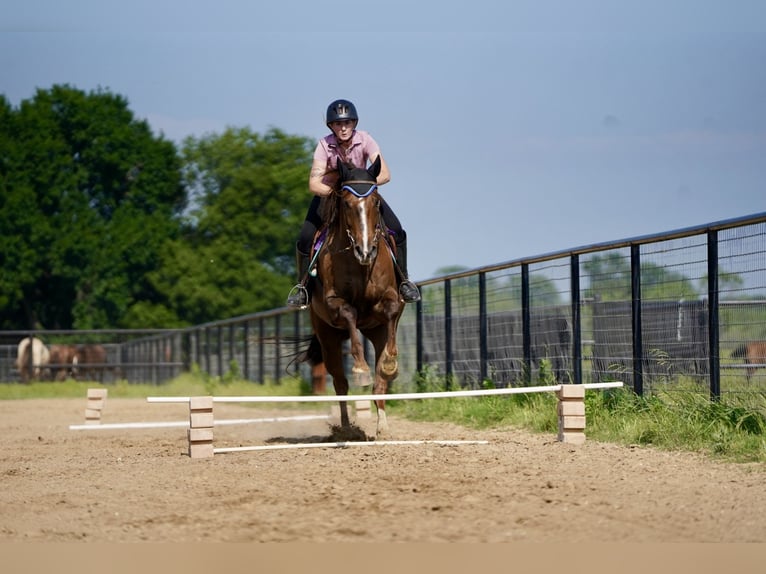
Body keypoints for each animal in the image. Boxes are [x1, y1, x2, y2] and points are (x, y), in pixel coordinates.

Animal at [302, 156, 408, 436]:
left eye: (376, 202)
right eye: (347, 204)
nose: (366, 251)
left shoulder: (389, 299)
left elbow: (392, 311)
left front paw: (390, 363)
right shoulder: (334, 302)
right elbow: (349, 312)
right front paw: (360, 368)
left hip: (375, 331)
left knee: (380, 384)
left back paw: (382, 425)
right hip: (327, 337)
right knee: (340, 383)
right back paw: (347, 428)